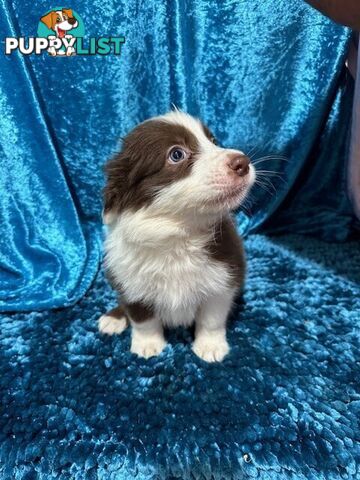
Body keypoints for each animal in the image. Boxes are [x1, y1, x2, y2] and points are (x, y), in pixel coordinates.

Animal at [98, 110, 256, 362]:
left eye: (213, 141)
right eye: (176, 154)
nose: (242, 162)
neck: (179, 233)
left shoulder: (224, 280)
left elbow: (212, 318)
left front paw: (210, 346)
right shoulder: (130, 284)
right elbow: (143, 319)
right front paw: (148, 345)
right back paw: (114, 317)